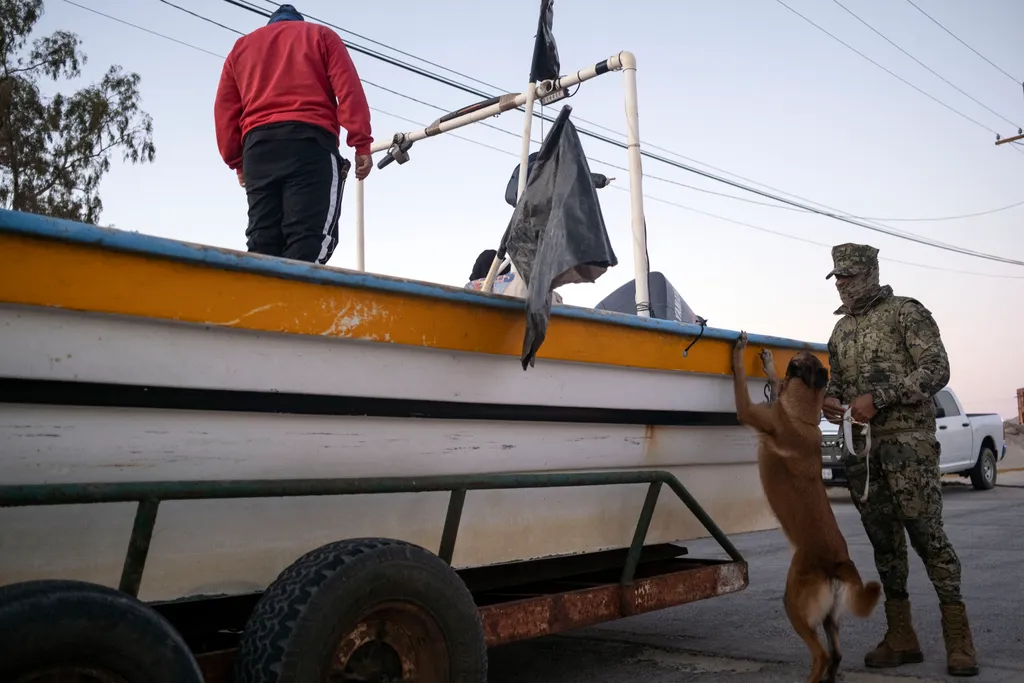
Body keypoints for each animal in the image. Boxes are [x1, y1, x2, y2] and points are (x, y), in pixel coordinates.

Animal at [729, 331, 880, 683]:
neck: (804, 414)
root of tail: (839, 562)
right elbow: (775, 383)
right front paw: (769, 364)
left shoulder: (749, 411)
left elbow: (740, 380)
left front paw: (740, 351)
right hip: (829, 617)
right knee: (836, 655)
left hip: (793, 603)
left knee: (821, 655)